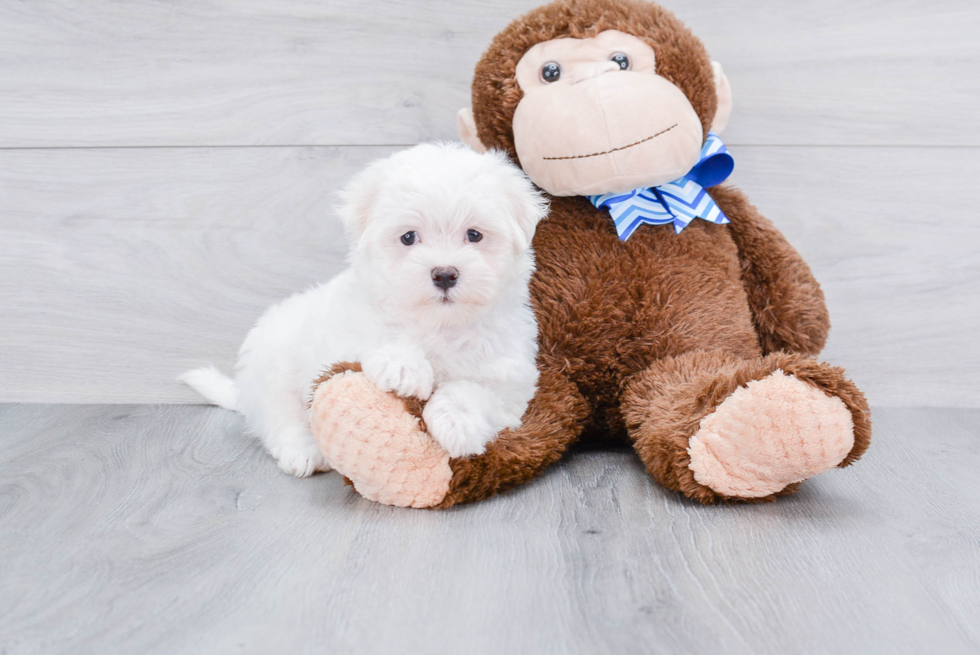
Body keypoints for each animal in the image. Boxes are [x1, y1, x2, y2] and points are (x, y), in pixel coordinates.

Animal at [180, 145, 548, 476]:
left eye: (474, 235)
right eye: (408, 237)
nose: (444, 274)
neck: (439, 325)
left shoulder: (510, 384)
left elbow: (476, 392)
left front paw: (457, 421)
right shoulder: (347, 333)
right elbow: (378, 338)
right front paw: (403, 367)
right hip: (273, 366)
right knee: (280, 417)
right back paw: (302, 451)